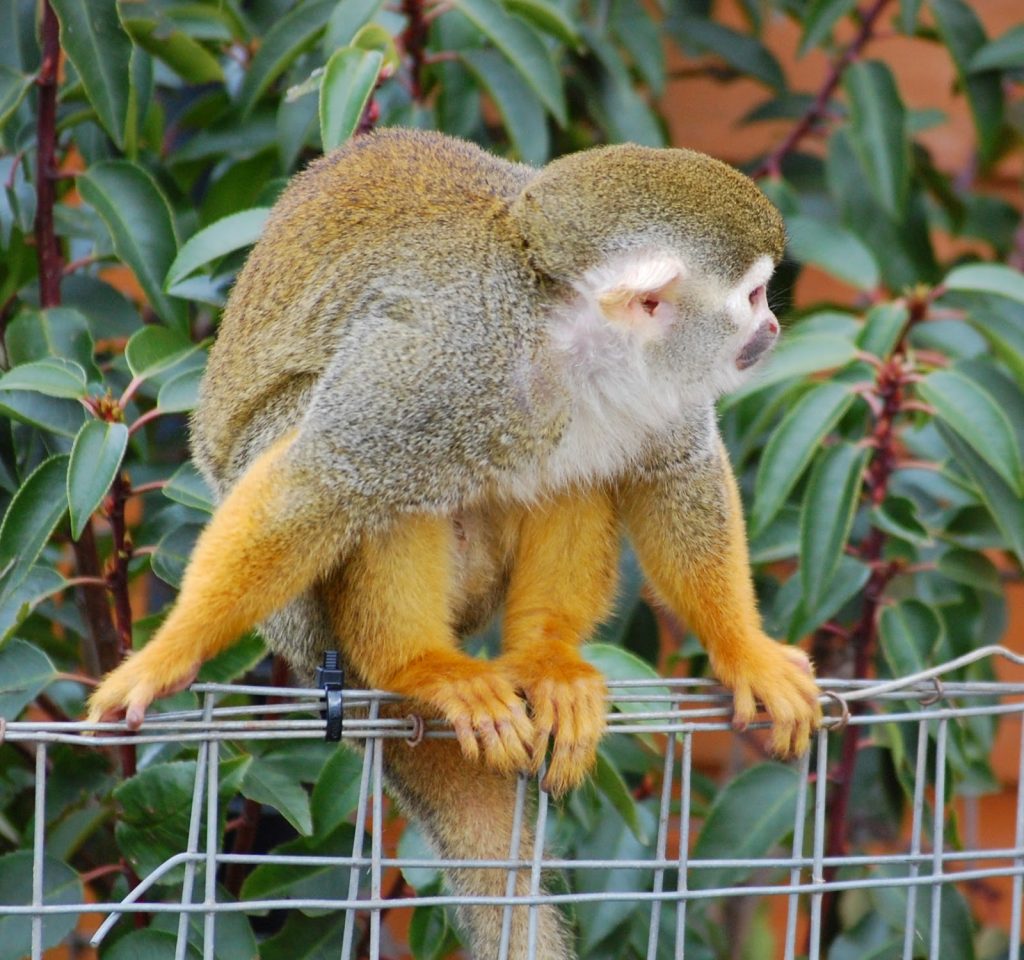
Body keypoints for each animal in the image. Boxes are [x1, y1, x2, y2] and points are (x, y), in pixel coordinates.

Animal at [87, 128, 821, 958]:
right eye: (754, 296)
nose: (771, 331)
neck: (569, 340)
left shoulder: (662, 382)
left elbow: (674, 474)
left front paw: (746, 653)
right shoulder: (442, 364)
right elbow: (324, 475)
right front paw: (163, 659)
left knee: (577, 467)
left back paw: (546, 661)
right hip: (308, 618)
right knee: (369, 469)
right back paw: (414, 666)